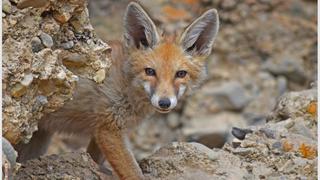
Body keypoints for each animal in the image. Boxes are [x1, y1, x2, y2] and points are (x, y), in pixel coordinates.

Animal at [15, 1, 220, 180]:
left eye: (180, 74)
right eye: (150, 71)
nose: (164, 103)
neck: (127, 87)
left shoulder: (103, 132)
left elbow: (95, 160)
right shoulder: (109, 130)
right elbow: (134, 174)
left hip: (39, 139)